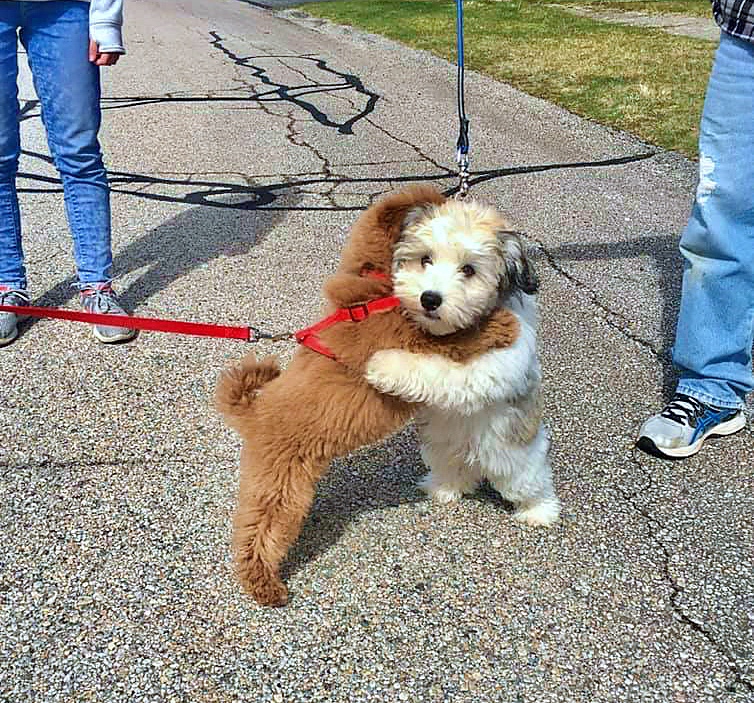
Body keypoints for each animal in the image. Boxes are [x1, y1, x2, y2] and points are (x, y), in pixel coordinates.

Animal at [213, 186, 516, 604]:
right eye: (427, 258)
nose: (430, 297)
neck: (373, 295)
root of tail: (254, 412)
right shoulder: (414, 339)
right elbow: (458, 337)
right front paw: (501, 323)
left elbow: (378, 220)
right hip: (280, 484)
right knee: (259, 531)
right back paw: (264, 584)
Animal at [364, 195, 560, 524]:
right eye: (425, 259)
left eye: (468, 269)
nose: (430, 298)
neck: (462, 330)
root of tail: (475, 456)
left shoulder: (491, 366)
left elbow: (440, 371)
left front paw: (384, 366)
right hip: (442, 448)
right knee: (454, 471)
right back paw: (444, 488)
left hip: (516, 458)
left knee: (530, 482)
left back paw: (539, 511)